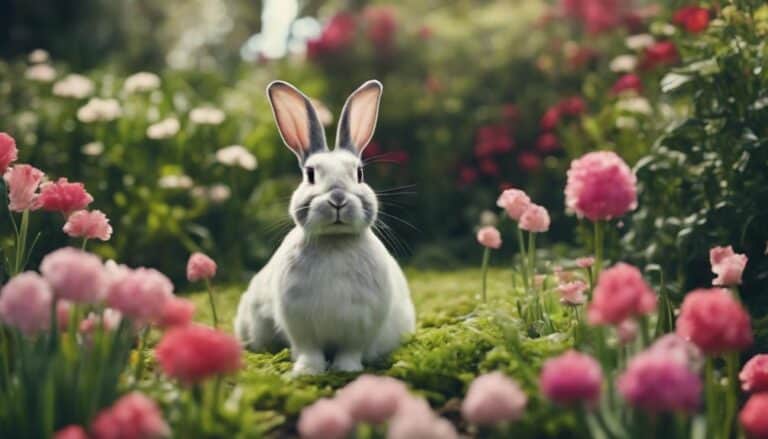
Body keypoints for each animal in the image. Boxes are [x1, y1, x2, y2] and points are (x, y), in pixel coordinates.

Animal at [234, 79, 416, 375]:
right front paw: (307, 372)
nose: (338, 199)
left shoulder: (358, 328)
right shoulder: (301, 326)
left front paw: (347, 370)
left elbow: (349, 352)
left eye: (359, 173)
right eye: (310, 174)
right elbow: (310, 352)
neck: (335, 240)